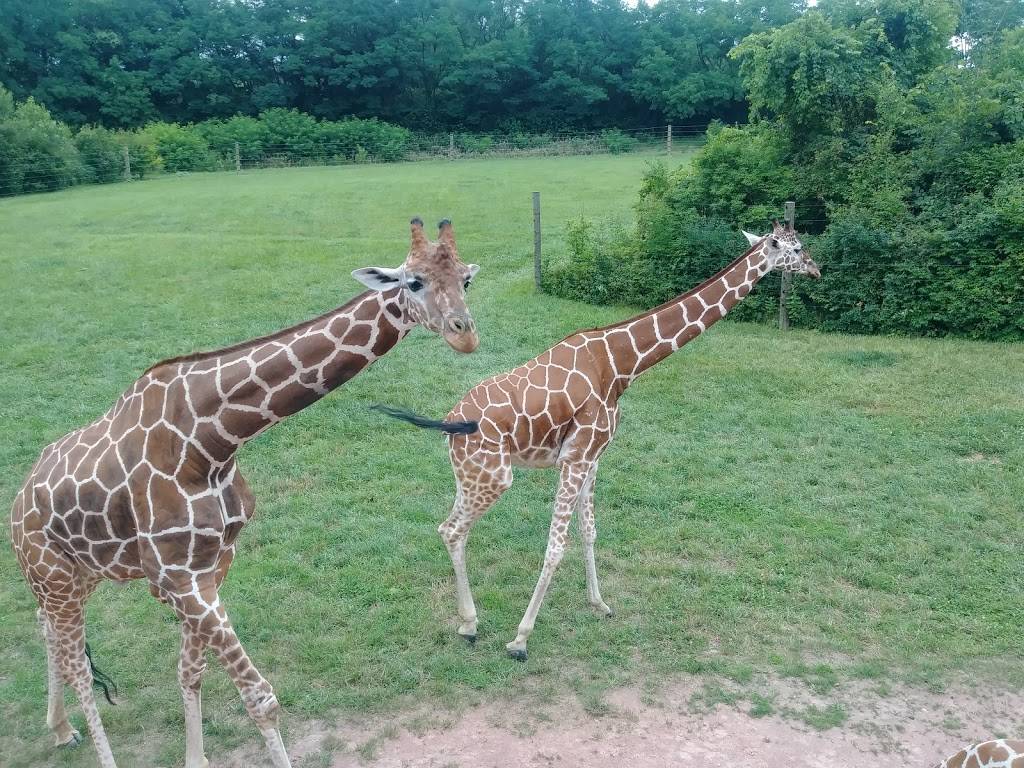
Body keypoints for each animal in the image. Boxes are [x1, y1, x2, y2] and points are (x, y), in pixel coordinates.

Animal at [9, 217, 479, 768]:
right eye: (413, 282)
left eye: (466, 280)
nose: (465, 335)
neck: (212, 441)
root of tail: (17, 502)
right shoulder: (178, 575)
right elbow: (260, 698)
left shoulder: (211, 564)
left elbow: (190, 671)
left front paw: (195, 759)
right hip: (53, 575)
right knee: (78, 667)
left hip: (80, 574)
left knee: (46, 629)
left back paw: (60, 729)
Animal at [374, 222, 815, 663]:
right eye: (795, 249)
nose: (816, 268)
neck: (621, 364)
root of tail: (448, 422)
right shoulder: (576, 458)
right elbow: (555, 546)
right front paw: (521, 639)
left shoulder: (593, 457)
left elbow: (589, 532)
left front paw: (598, 603)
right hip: (492, 477)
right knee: (451, 530)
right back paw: (469, 625)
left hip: (469, 476)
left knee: (452, 529)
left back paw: (470, 621)